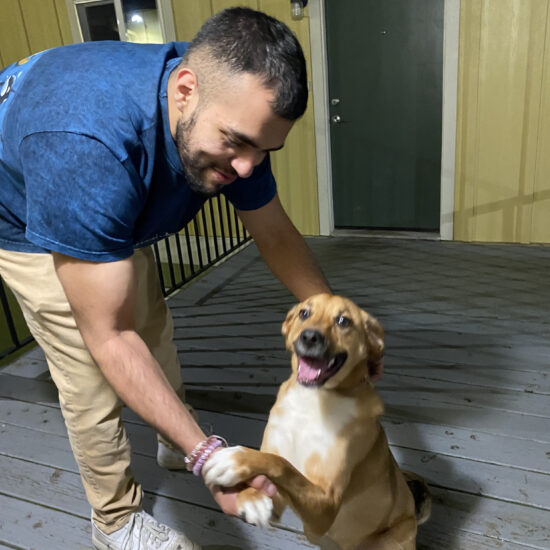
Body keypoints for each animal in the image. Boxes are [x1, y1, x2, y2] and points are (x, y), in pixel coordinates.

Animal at [204, 296, 432, 548]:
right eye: (304, 313)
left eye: (343, 321)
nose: (309, 336)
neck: (312, 401)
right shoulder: (280, 498)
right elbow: (274, 466)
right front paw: (251, 497)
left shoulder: (327, 506)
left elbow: (282, 464)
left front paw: (235, 459)